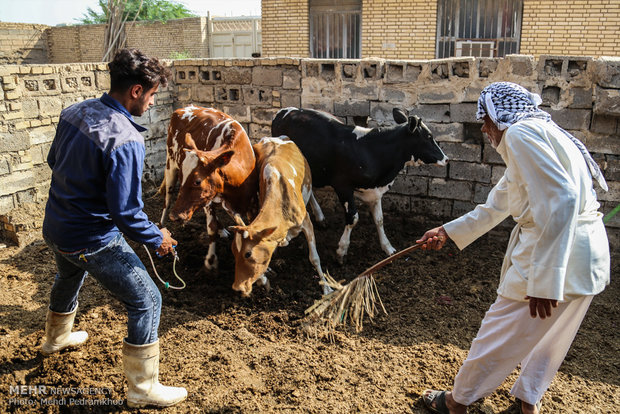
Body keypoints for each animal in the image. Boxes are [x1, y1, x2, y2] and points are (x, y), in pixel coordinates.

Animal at [160, 106, 260, 272]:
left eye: (197, 181)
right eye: (182, 177)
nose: (175, 216)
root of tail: (182, 109)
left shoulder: (251, 202)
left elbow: (249, 228)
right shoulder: (209, 201)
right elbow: (211, 228)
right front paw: (211, 259)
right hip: (170, 166)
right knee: (166, 201)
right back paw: (162, 228)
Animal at [228, 137, 332, 296]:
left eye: (248, 254)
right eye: (233, 251)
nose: (237, 288)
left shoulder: (306, 222)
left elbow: (314, 258)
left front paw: (326, 287)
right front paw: (264, 279)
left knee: (311, 194)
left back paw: (320, 216)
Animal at [272, 106, 446, 262]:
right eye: (428, 136)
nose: (446, 158)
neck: (371, 150)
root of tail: (285, 111)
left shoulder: (375, 191)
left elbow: (379, 219)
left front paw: (388, 247)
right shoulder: (343, 186)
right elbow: (353, 218)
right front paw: (342, 250)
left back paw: (320, 218)